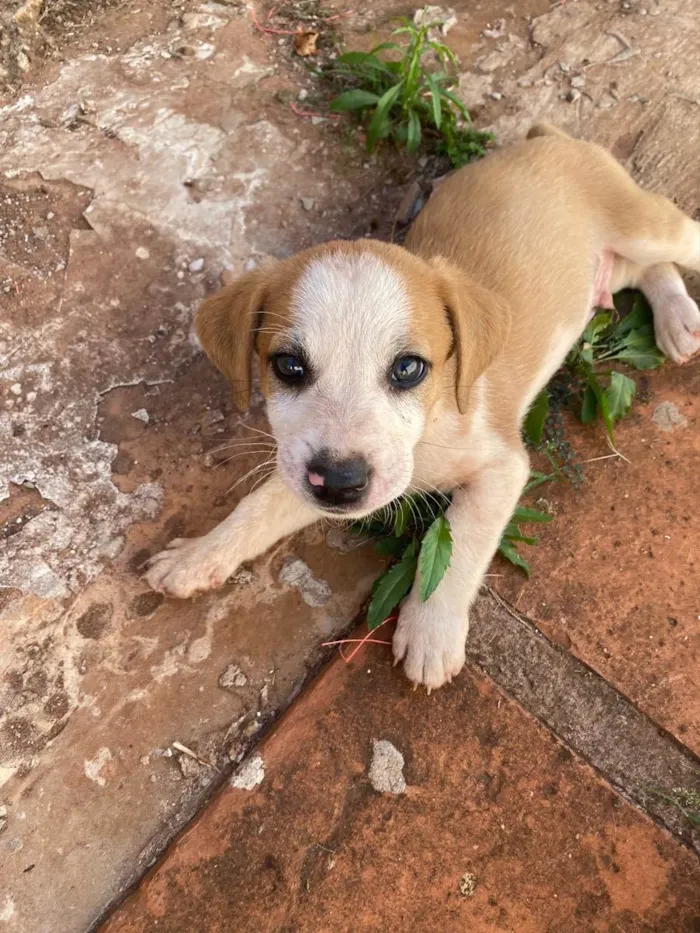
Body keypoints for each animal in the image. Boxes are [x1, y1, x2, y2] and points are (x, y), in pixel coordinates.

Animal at [148, 124, 700, 688]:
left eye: (409, 368)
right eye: (288, 366)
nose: (341, 484)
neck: (430, 428)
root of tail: (547, 136)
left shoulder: (502, 467)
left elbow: (461, 543)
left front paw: (431, 632)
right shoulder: (303, 464)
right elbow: (259, 506)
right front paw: (199, 554)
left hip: (647, 226)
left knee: (677, 244)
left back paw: (679, 316)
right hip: (603, 273)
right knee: (647, 271)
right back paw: (678, 323)